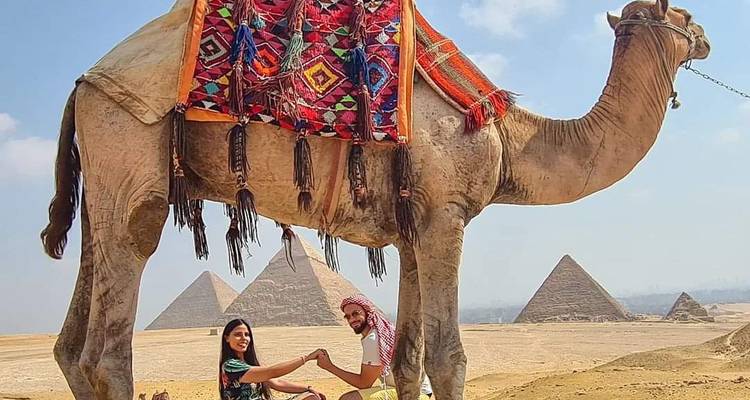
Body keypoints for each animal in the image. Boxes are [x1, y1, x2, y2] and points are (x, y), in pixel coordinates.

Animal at [41, 1, 709, 399]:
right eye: (678, 13)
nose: (704, 37)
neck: (506, 134)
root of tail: (83, 83)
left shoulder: (414, 227)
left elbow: (407, 357)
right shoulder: (445, 214)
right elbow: (447, 357)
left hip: (103, 185)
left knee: (73, 341)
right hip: (131, 149)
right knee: (109, 346)